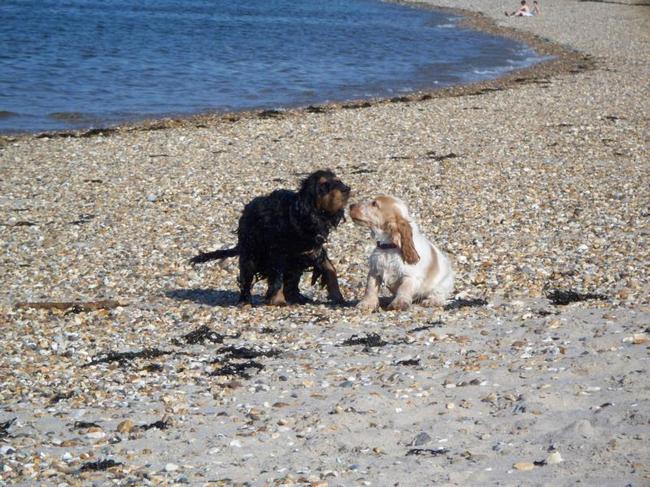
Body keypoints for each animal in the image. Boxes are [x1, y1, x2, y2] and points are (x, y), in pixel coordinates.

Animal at [190, 170, 351, 306]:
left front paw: (338, 297)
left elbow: (330, 269)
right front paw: (278, 300)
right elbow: (277, 276)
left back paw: (297, 297)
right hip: (250, 253)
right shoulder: (277, 254)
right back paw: (245, 301)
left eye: (338, 180)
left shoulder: (313, 250)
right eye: (323, 185)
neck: (300, 216)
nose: (346, 189)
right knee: (246, 278)